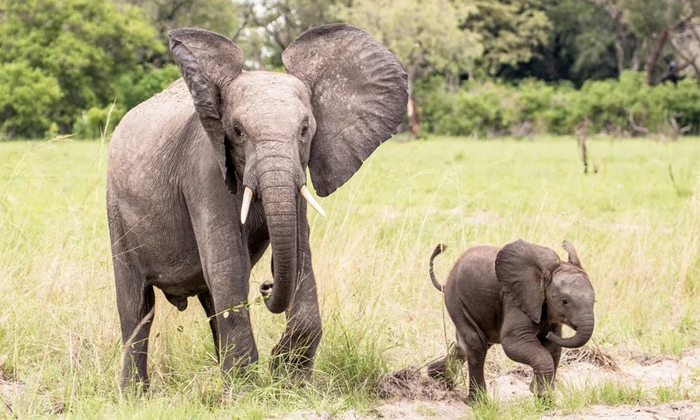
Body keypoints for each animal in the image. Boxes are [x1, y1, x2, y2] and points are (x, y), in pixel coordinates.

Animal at [106, 23, 407, 388]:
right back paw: (135, 393)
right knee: (137, 307)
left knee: (209, 301)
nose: (266, 285)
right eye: (237, 131)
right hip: (116, 209)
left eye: (305, 129)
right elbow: (228, 264)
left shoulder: (297, 175)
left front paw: (288, 380)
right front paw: (245, 390)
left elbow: (300, 254)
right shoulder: (205, 171)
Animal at [426, 240, 595, 401]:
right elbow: (512, 343)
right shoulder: (515, 300)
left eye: (594, 301)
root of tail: (447, 281)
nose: (547, 334)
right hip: (456, 300)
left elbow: (553, 348)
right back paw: (478, 402)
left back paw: (436, 376)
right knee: (476, 344)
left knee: (466, 345)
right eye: (564, 301)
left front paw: (545, 398)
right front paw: (541, 393)